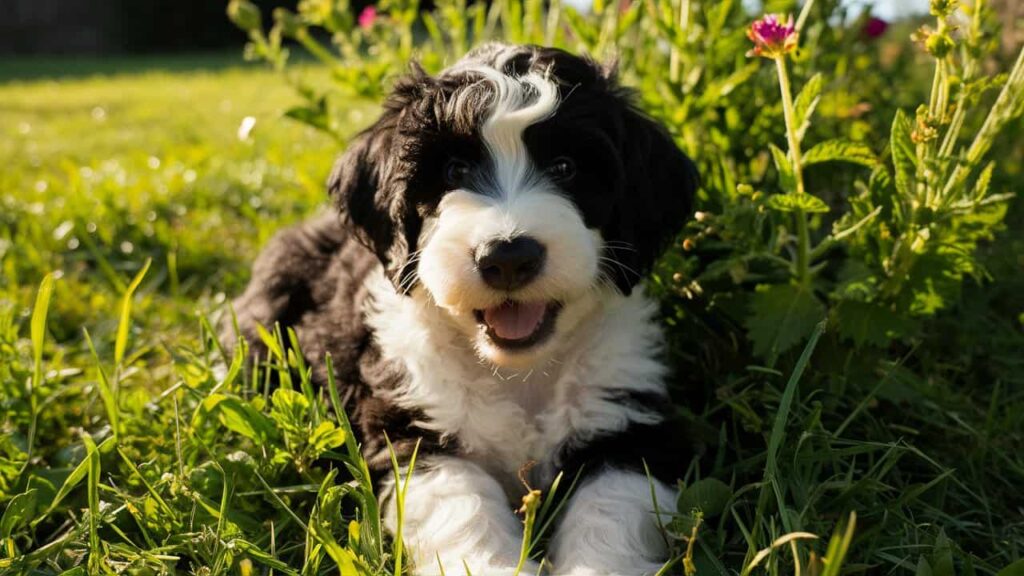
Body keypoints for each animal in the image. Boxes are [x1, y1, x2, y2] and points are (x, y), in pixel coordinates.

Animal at [228, 42, 700, 569]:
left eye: (565, 168)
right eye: (455, 170)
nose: (509, 257)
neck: (518, 372)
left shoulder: (628, 421)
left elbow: (611, 507)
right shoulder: (414, 429)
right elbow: (463, 502)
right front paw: (494, 566)